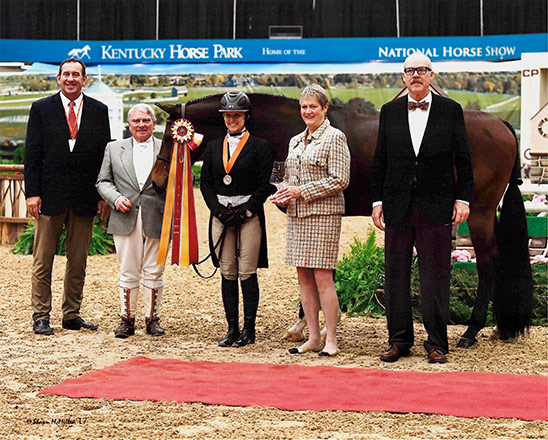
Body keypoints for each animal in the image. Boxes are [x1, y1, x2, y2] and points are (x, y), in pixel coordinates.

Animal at [152, 93, 532, 348]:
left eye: (173, 136)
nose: (157, 182)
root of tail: (501, 125)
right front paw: (308, 327)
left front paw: (310, 328)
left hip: (478, 213)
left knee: (488, 264)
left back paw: (470, 332)